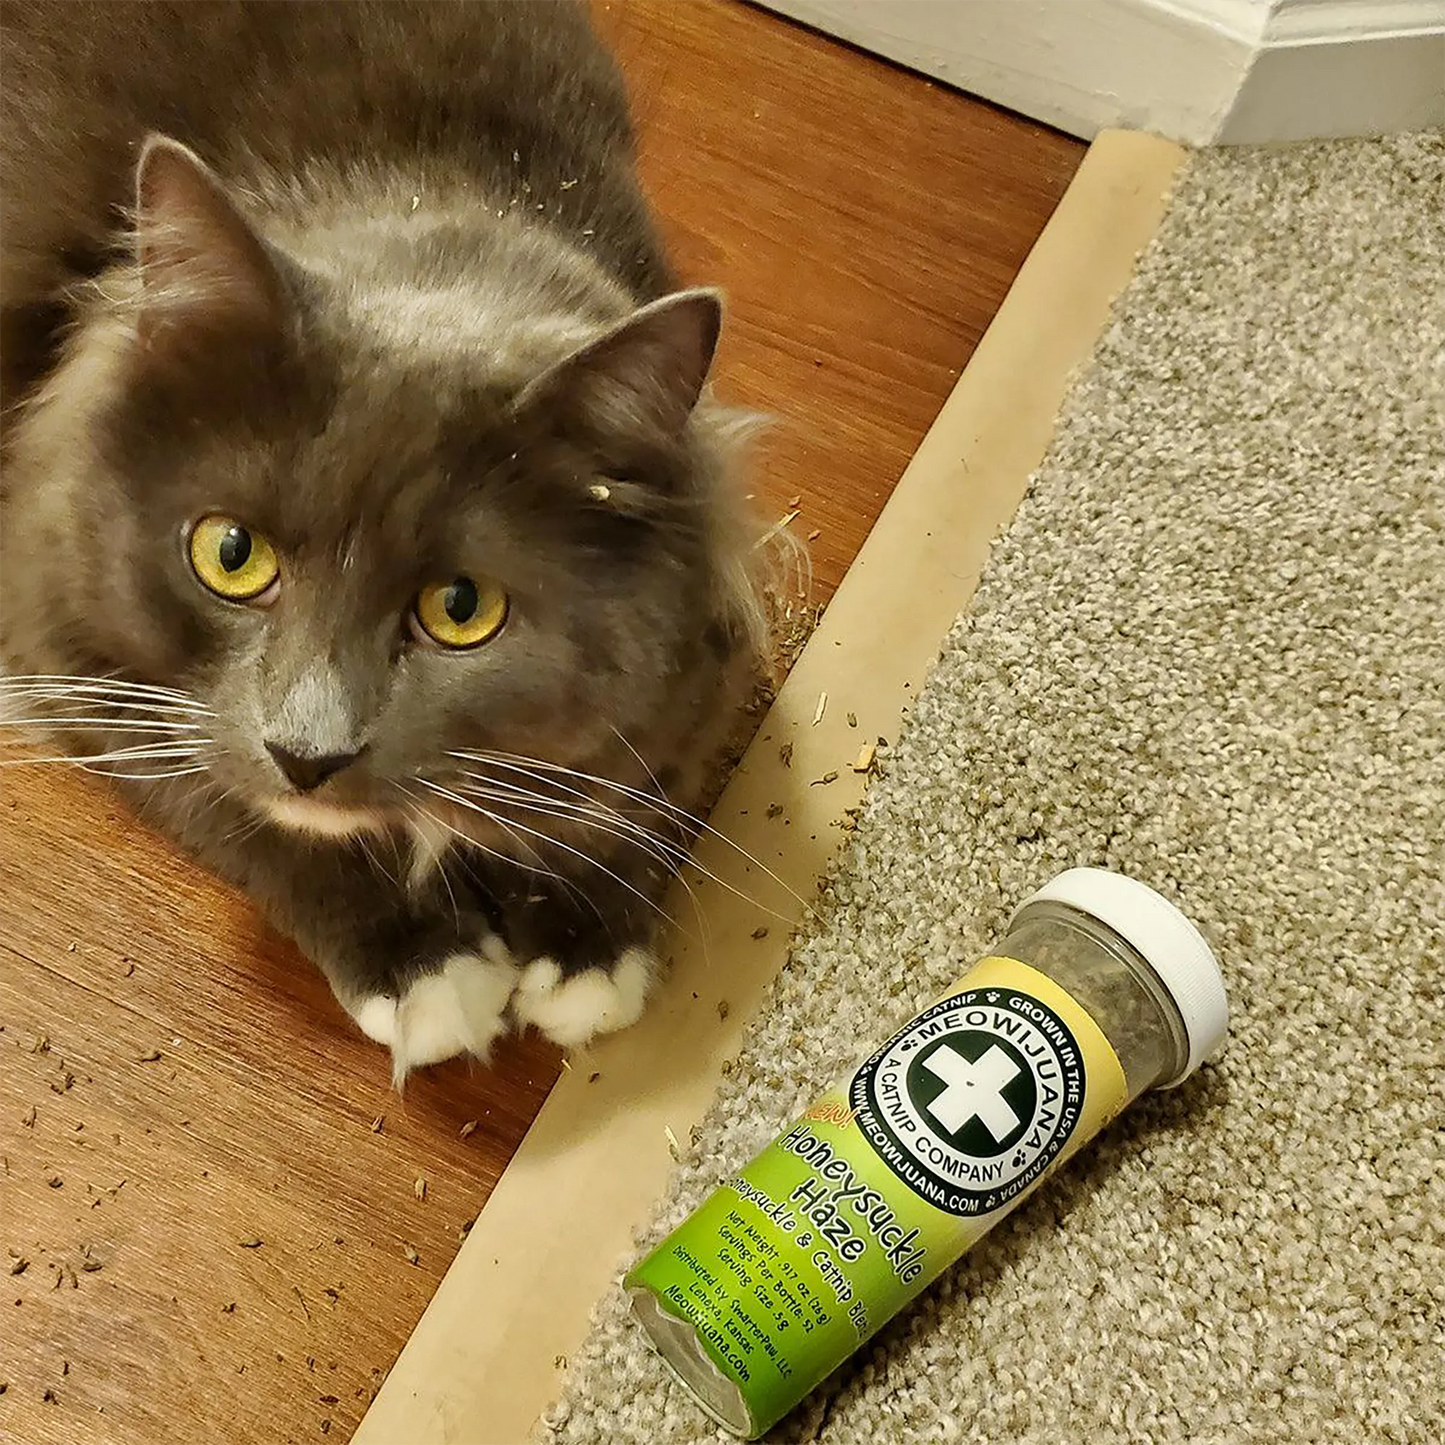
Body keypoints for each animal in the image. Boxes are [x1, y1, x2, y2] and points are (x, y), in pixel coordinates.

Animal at [0, 0, 768, 1080]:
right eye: (230, 554)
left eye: (460, 608)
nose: (305, 753)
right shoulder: (62, 636)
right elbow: (236, 808)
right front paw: (427, 968)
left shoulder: (708, 634)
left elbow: (639, 787)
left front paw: (583, 947)